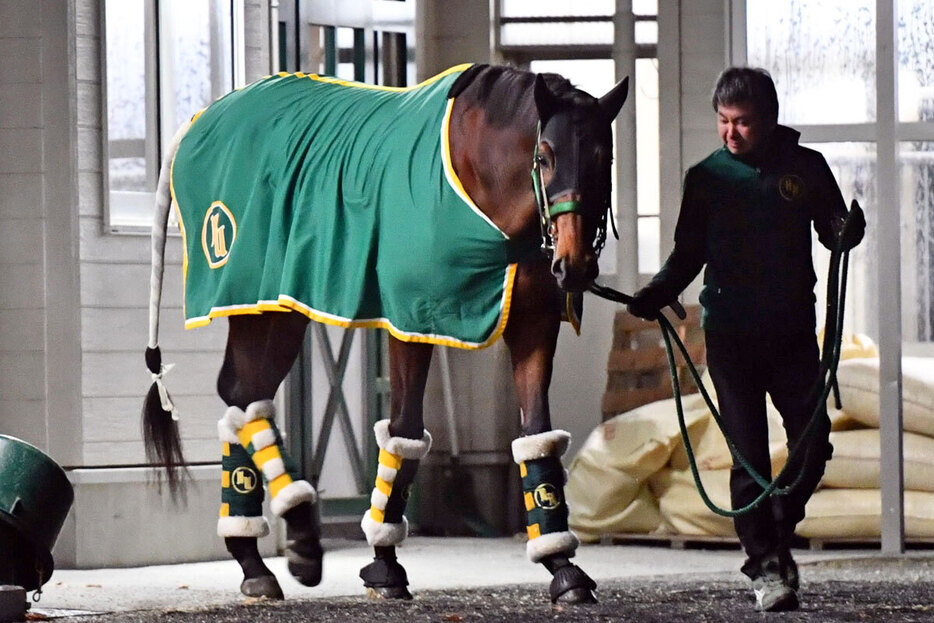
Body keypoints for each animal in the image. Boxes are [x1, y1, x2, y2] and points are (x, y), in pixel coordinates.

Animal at [144, 63, 628, 604]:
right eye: (543, 157)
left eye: (604, 158)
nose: (574, 265)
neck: (480, 183)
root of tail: (201, 119)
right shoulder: (412, 319)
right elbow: (404, 431)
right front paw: (384, 564)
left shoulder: (534, 325)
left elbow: (537, 434)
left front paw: (562, 565)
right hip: (249, 296)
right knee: (245, 397)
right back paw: (301, 536)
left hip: (279, 308)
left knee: (243, 395)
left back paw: (253, 558)